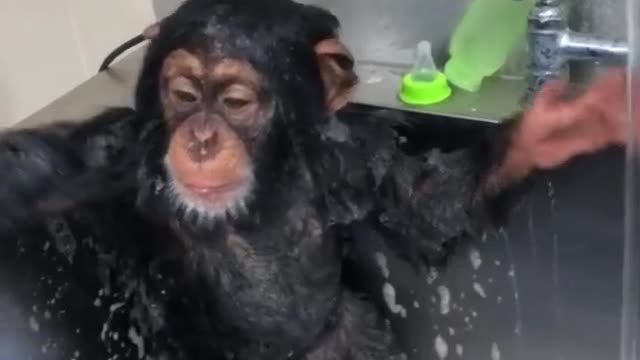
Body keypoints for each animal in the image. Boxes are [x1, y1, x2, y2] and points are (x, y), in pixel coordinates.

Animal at [0, 0, 632, 358]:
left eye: (235, 101)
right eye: (182, 95)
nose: (200, 138)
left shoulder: (354, 153)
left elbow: (424, 211)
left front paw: (547, 130)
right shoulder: (115, 155)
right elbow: (33, 172)